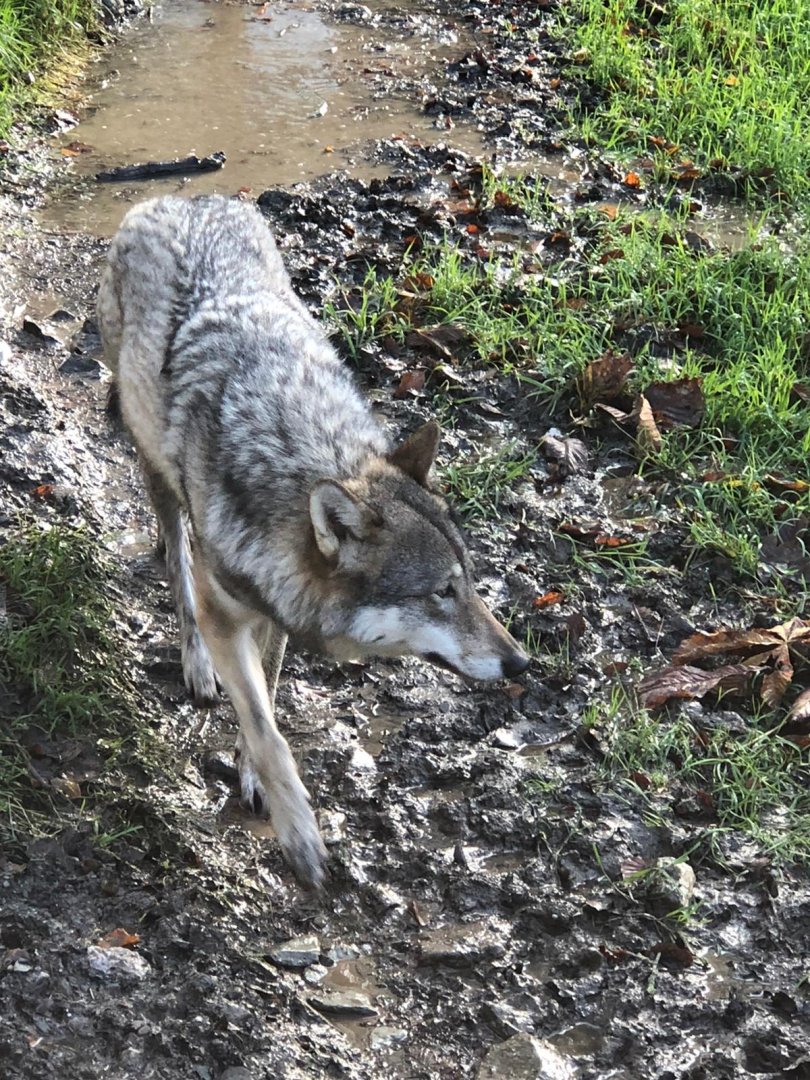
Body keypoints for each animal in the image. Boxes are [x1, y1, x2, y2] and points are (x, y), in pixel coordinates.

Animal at [97, 194, 529, 888]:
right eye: (442, 592)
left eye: (470, 583)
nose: (520, 664)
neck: (297, 455)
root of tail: (179, 197)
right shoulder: (229, 613)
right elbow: (266, 729)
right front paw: (298, 833)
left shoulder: (276, 610)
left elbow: (268, 695)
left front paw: (250, 773)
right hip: (154, 464)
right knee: (179, 563)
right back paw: (194, 658)